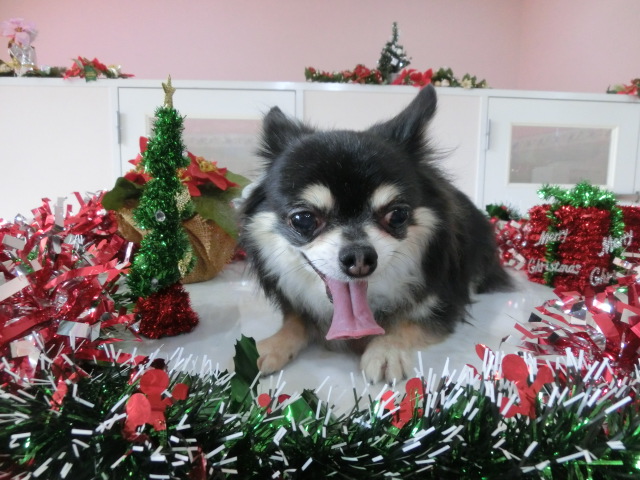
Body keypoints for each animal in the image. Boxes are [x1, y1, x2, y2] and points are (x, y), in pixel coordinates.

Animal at [240, 85, 511, 383]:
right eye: (303, 219)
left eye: (398, 215)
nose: (359, 257)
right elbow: (295, 321)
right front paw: (269, 345)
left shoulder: (445, 304)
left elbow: (411, 321)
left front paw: (386, 349)